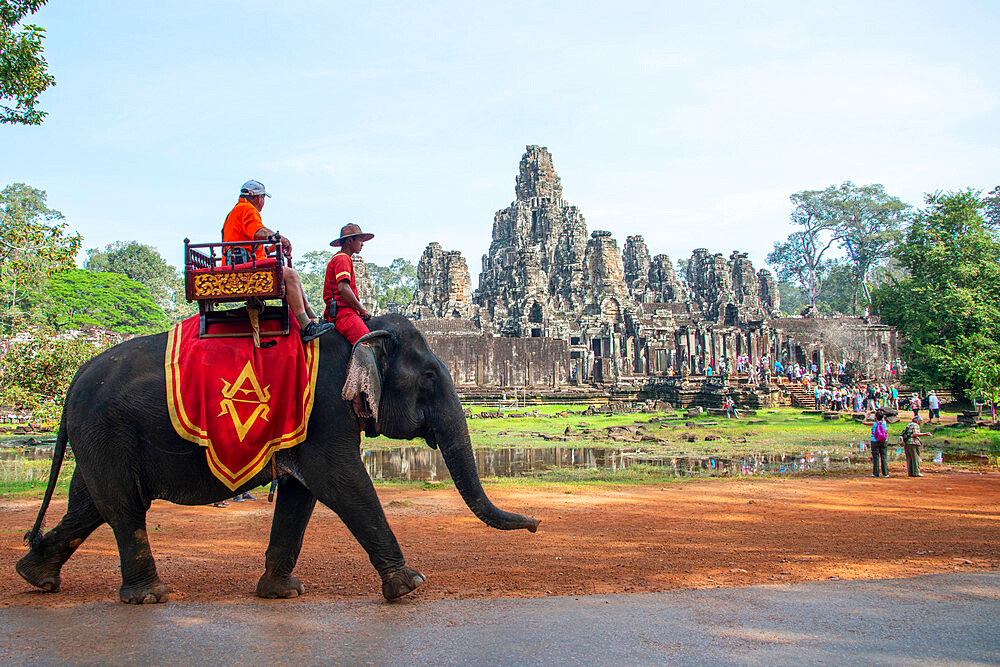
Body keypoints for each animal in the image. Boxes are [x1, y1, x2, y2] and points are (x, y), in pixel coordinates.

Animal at [15, 314, 536, 604]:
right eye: (428, 378)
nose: (535, 526)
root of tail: (73, 379)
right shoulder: (326, 411)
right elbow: (341, 482)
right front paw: (409, 585)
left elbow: (301, 494)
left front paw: (281, 592)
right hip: (105, 430)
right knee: (124, 508)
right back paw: (148, 596)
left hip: (96, 437)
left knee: (89, 505)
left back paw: (36, 576)